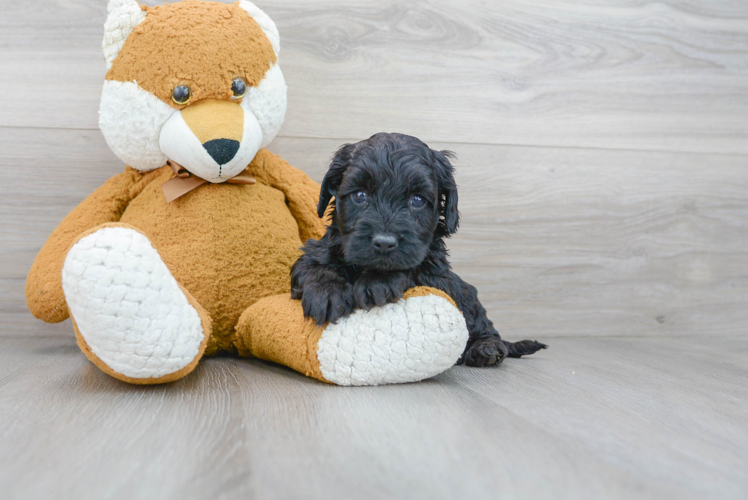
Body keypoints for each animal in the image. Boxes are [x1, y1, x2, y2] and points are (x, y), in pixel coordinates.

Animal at [290, 133, 548, 368]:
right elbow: (310, 264)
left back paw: (486, 349)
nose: (384, 242)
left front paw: (378, 281)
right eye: (360, 195)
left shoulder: (438, 277)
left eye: (417, 200)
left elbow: (414, 269)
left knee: (485, 327)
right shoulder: (320, 250)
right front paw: (327, 292)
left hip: (469, 299)